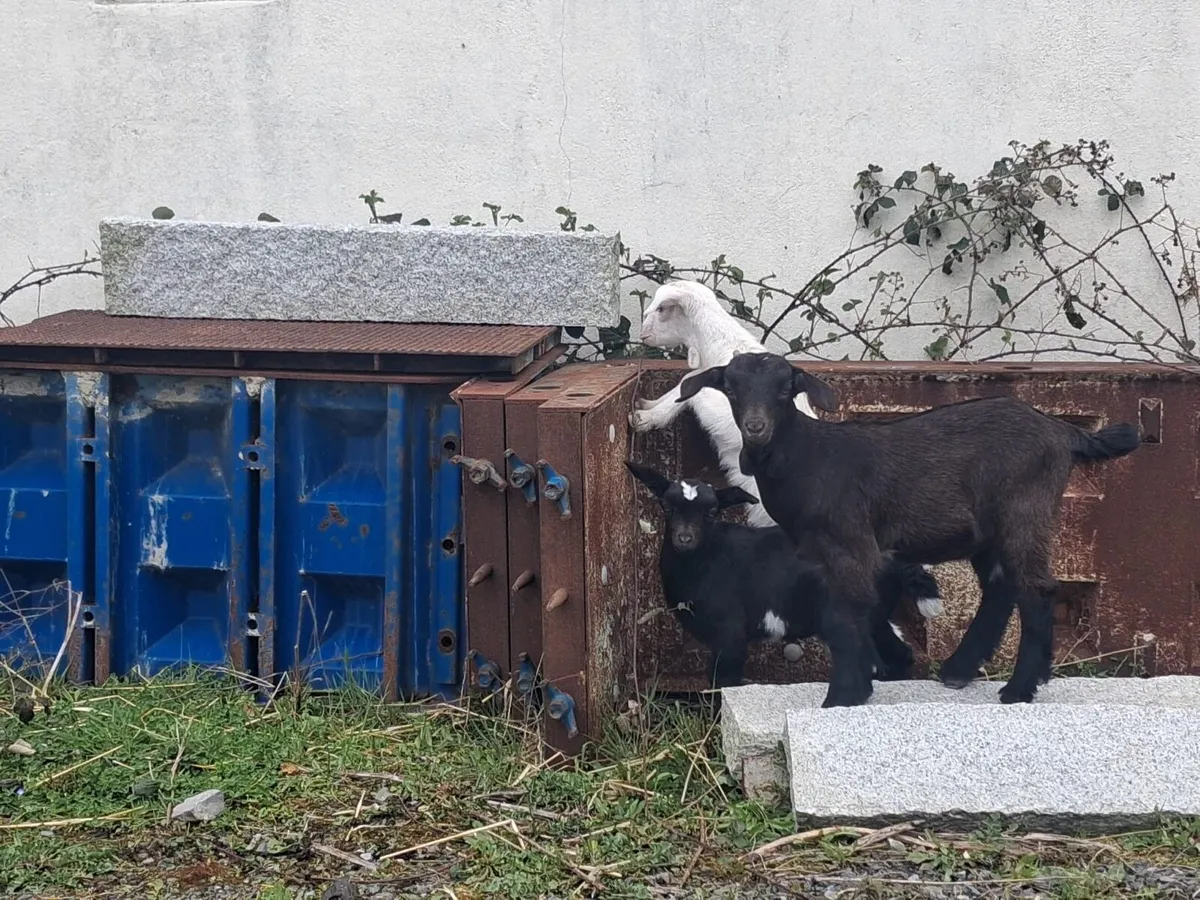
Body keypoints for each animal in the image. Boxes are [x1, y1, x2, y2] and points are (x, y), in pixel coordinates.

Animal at [625, 460, 940, 688]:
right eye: (667, 507)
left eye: (712, 512)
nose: (684, 539)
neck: (706, 560)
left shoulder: (730, 634)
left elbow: (724, 683)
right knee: (899, 654)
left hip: (869, 613)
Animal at [677, 351, 1141, 707]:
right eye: (731, 389)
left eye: (784, 388)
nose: (756, 428)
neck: (807, 458)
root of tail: (1062, 431)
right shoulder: (820, 555)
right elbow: (841, 614)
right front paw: (859, 686)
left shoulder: (851, 542)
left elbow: (845, 613)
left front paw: (843, 696)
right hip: (989, 530)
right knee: (1001, 587)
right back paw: (961, 670)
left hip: (1024, 509)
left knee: (1037, 589)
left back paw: (1019, 689)